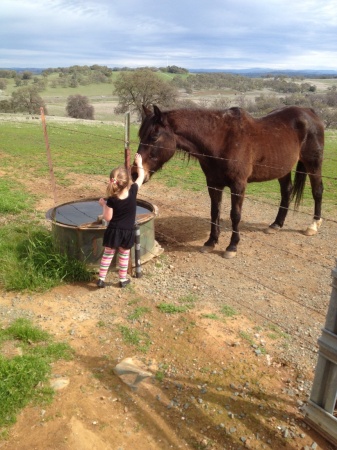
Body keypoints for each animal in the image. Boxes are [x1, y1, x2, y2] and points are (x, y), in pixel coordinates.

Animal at [133, 105, 322, 258]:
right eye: (141, 135)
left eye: (154, 136)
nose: (135, 173)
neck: (222, 140)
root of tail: (309, 112)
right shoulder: (213, 183)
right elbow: (214, 211)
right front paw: (210, 242)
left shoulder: (238, 185)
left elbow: (235, 215)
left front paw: (232, 246)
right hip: (282, 169)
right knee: (287, 191)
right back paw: (276, 224)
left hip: (313, 164)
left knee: (317, 190)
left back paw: (313, 226)